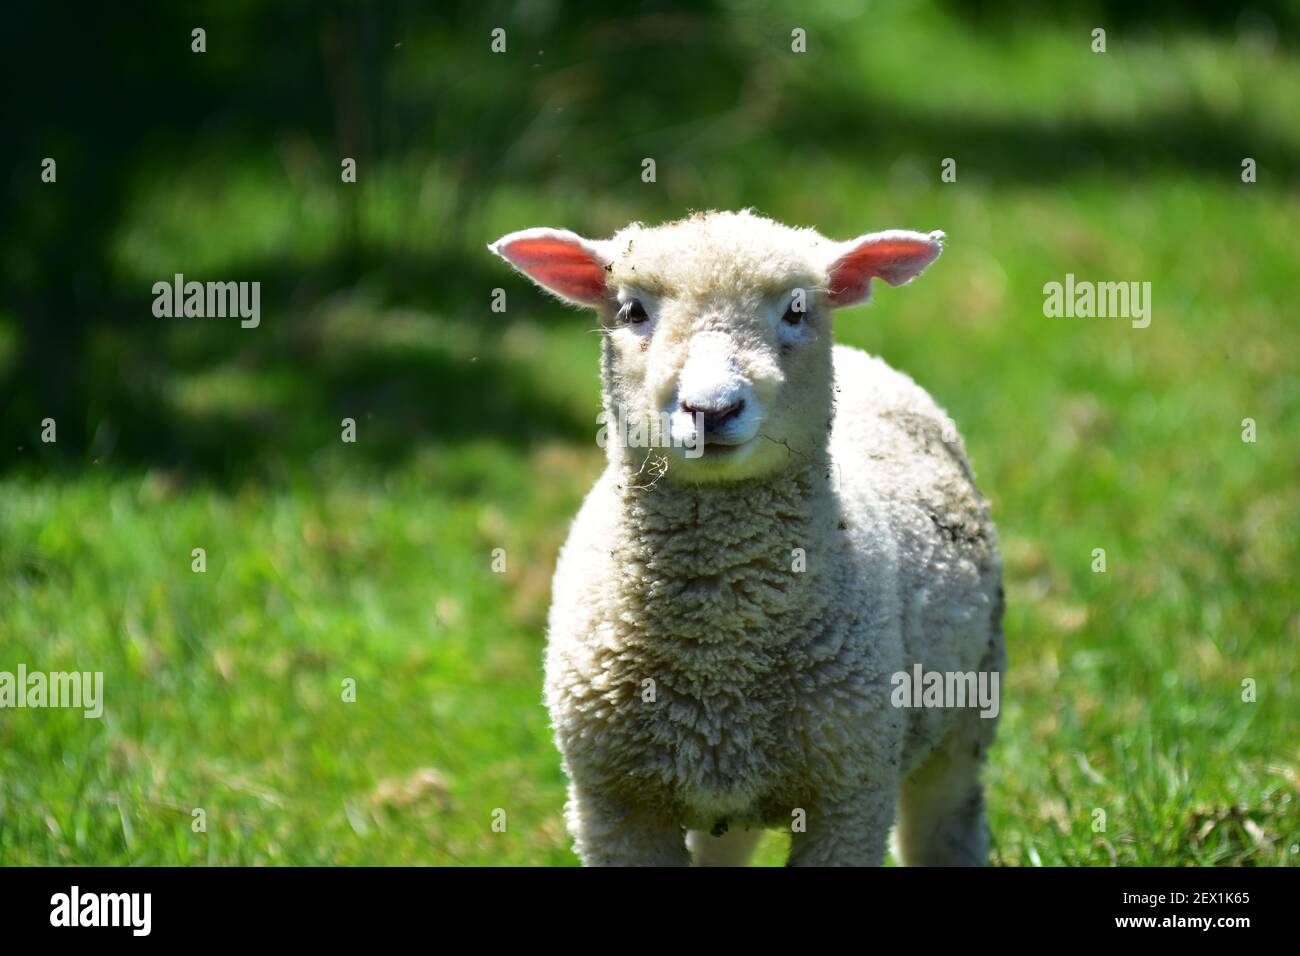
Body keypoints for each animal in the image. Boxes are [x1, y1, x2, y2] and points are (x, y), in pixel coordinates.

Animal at [488, 209, 1003, 868]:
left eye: (796, 311)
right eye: (632, 310)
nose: (711, 409)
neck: (720, 650)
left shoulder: (850, 795)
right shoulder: (614, 803)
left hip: (968, 708)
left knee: (945, 821)